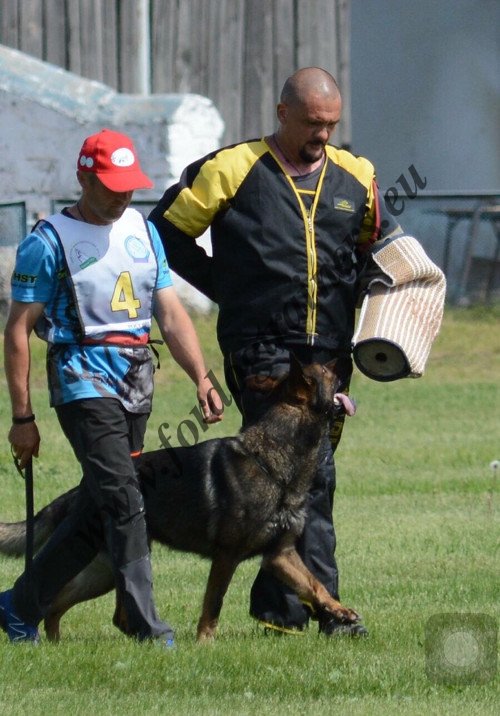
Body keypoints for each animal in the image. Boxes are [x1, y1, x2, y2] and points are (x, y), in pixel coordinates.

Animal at [0, 358, 360, 644]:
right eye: (327, 370)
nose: (346, 357)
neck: (274, 463)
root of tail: (82, 490)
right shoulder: (227, 557)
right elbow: (214, 603)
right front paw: (204, 643)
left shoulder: (280, 555)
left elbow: (315, 585)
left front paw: (340, 611)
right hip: (95, 563)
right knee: (57, 598)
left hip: (103, 572)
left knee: (78, 607)